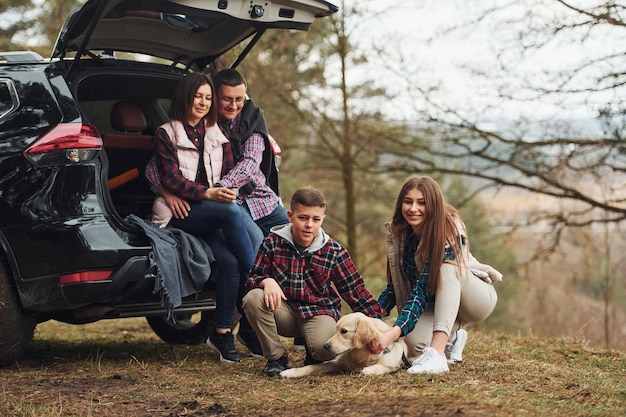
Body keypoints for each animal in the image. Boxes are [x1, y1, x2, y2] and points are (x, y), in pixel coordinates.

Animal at [280, 312, 410, 376]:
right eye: (336, 329)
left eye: (344, 331)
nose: (325, 346)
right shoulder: (336, 362)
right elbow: (313, 366)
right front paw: (290, 372)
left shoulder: (396, 362)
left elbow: (384, 367)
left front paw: (367, 370)